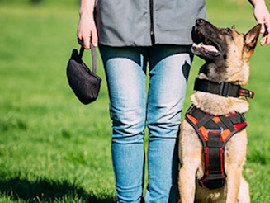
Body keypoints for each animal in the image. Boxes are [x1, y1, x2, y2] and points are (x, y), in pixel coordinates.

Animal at [178, 18, 260, 202]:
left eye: (228, 32)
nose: (198, 20)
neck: (218, 91)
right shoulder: (187, 167)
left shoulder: (234, 170)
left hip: (243, 187)